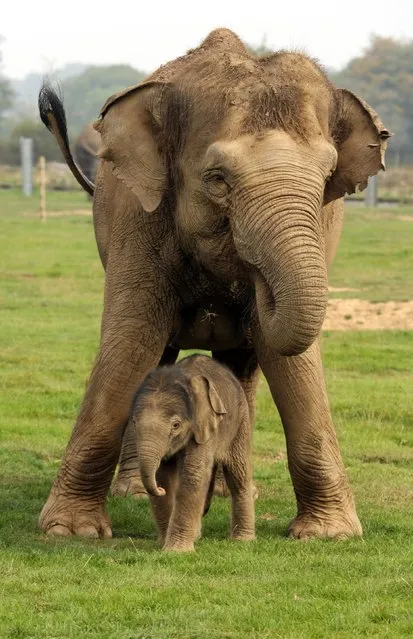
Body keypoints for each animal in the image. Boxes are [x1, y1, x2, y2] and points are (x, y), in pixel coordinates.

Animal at [132, 352, 254, 552]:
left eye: (176, 425)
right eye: (134, 422)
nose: (160, 491)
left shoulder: (203, 428)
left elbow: (193, 474)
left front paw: (176, 551)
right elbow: (163, 475)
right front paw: (164, 543)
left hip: (240, 423)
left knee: (238, 475)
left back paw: (243, 540)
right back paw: (197, 535)